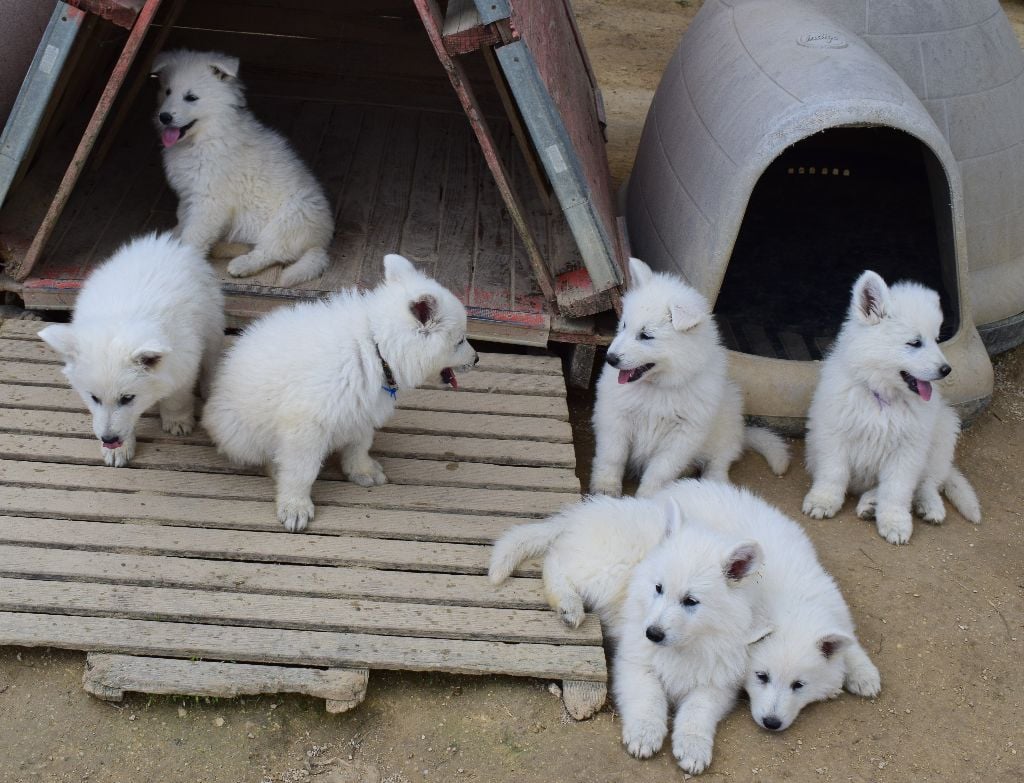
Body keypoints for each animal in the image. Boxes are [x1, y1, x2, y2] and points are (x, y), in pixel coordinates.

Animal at [589, 259, 786, 497]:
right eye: (624, 325)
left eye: (646, 336)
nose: (610, 358)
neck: (658, 387)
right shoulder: (615, 417)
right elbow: (612, 456)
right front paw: (605, 488)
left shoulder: (683, 436)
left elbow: (659, 471)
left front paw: (648, 498)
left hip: (726, 423)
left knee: (720, 460)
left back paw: (715, 483)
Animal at [655, 479, 880, 728]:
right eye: (762, 677)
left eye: (798, 685)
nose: (772, 723)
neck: (793, 603)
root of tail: (676, 486)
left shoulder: (837, 612)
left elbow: (851, 645)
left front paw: (865, 675)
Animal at [802, 268, 978, 544]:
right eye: (915, 342)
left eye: (937, 339)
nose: (946, 370)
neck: (881, 396)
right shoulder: (833, 435)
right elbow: (833, 472)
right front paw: (823, 500)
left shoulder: (907, 451)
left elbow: (897, 490)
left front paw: (895, 522)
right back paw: (870, 504)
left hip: (943, 434)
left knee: (927, 482)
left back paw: (927, 506)